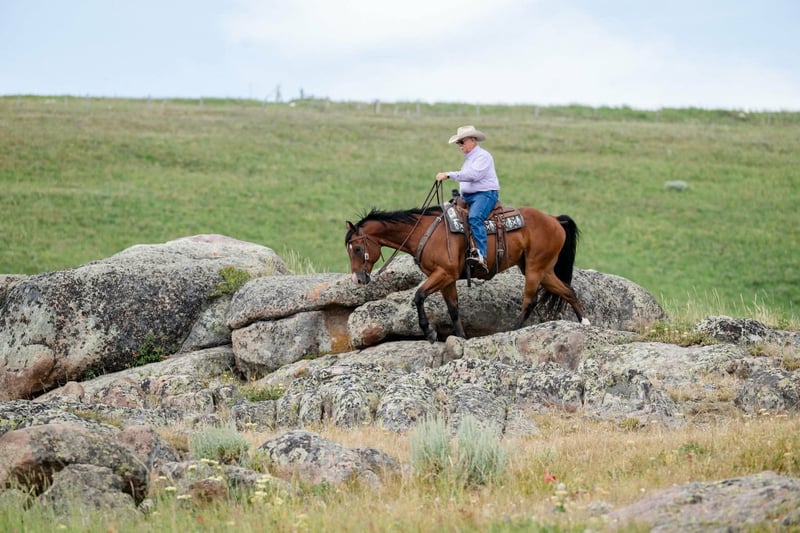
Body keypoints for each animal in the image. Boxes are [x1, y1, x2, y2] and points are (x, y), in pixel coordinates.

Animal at [345, 201, 591, 342]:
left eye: (357, 248)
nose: (358, 279)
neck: (424, 231)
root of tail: (555, 220)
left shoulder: (443, 273)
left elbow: (419, 295)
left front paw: (429, 332)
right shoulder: (447, 279)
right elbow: (453, 308)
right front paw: (461, 337)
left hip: (534, 268)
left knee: (529, 301)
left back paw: (511, 331)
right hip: (543, 270)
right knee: (568, 291)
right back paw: (586, 323)